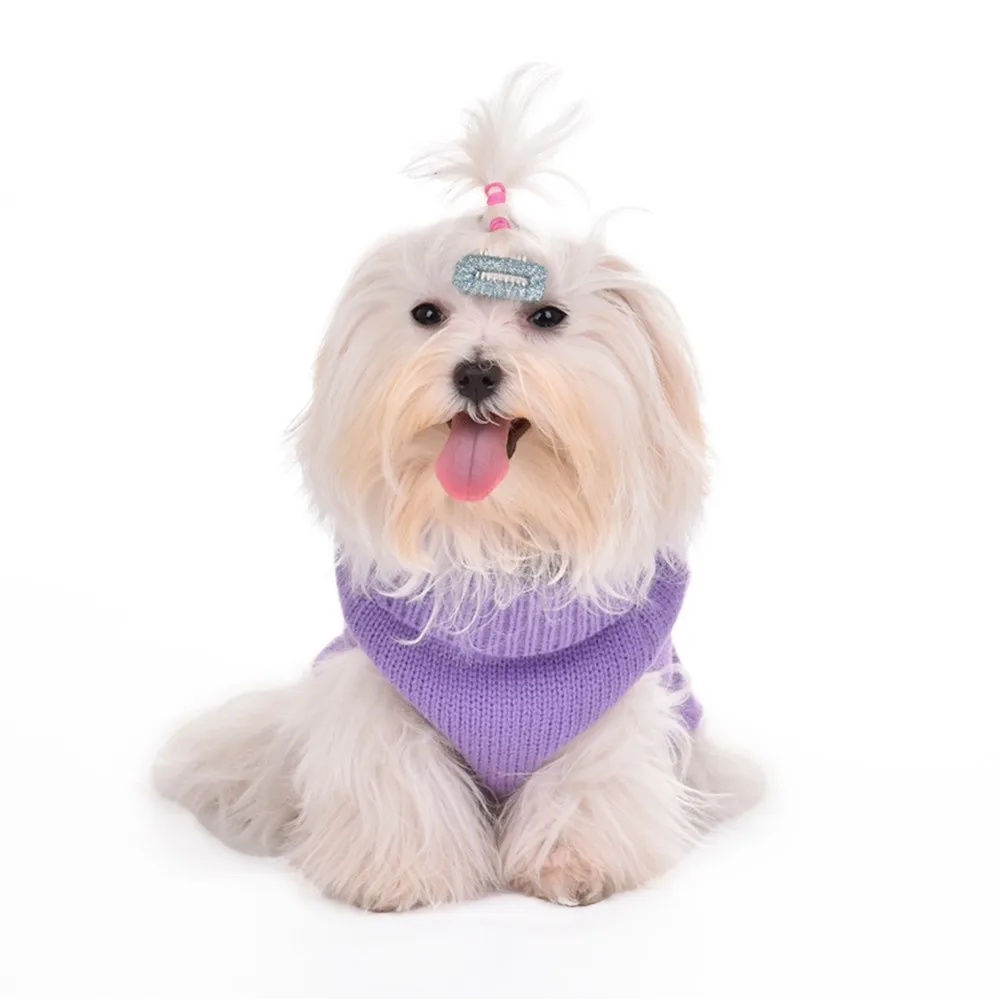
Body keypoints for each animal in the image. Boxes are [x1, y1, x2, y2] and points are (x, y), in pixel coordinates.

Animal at [154, 68, 761, 910]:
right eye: (426, 313)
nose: (475, 371)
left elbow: (587, 782)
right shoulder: (378, 698)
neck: (497, 533)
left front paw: (575, 865)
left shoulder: (615, 707)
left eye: (548, 316)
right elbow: (396, 779)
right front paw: (400, 874)